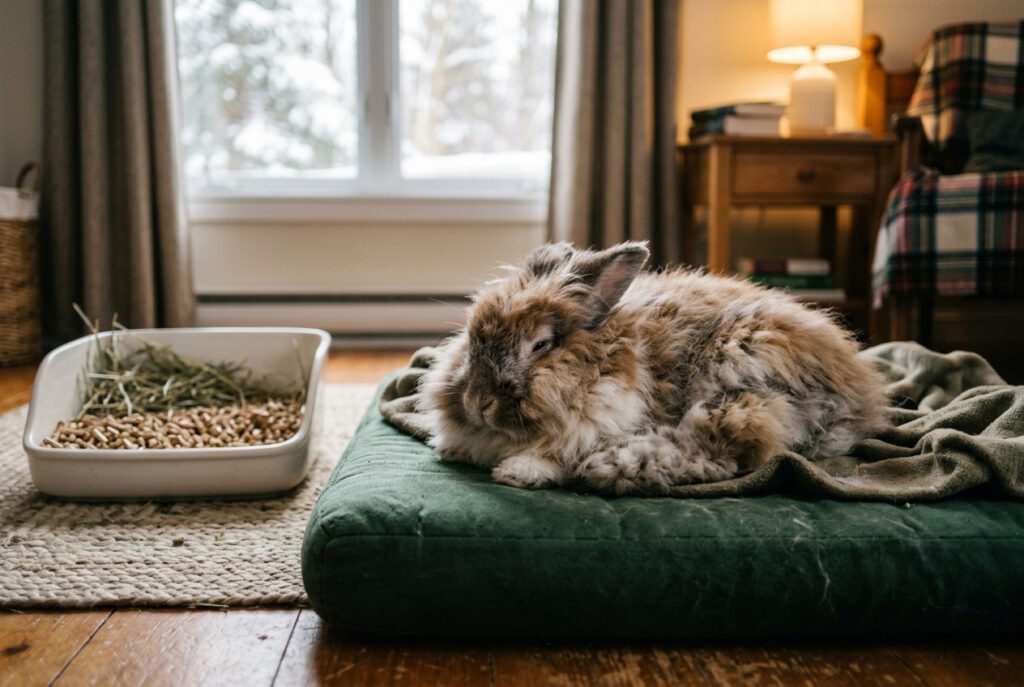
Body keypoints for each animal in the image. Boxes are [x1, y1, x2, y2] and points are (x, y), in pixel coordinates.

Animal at [419, 241, 889, 495]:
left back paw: (616, 465)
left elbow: (558, 451)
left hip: (738, 374)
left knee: (722, 450)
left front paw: (520, 471)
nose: (478, 403)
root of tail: (858, 398)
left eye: (541, 345)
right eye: (472, 338)